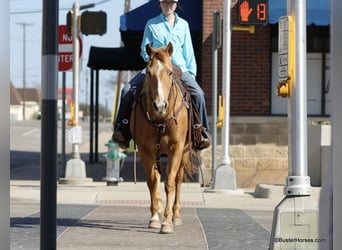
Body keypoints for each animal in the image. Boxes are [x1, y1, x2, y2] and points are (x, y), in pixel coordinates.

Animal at [130, 42, 191, 232]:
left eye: (170, 72)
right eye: (148, 72)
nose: (159, 106)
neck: (160, 119)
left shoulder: (176, 147)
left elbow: (170, 182)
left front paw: (167, 222)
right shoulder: (145, 148)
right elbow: (152, 180)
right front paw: (155, 217)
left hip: (185, 153)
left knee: (178, 179)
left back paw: (176, 215)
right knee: (157, 177)